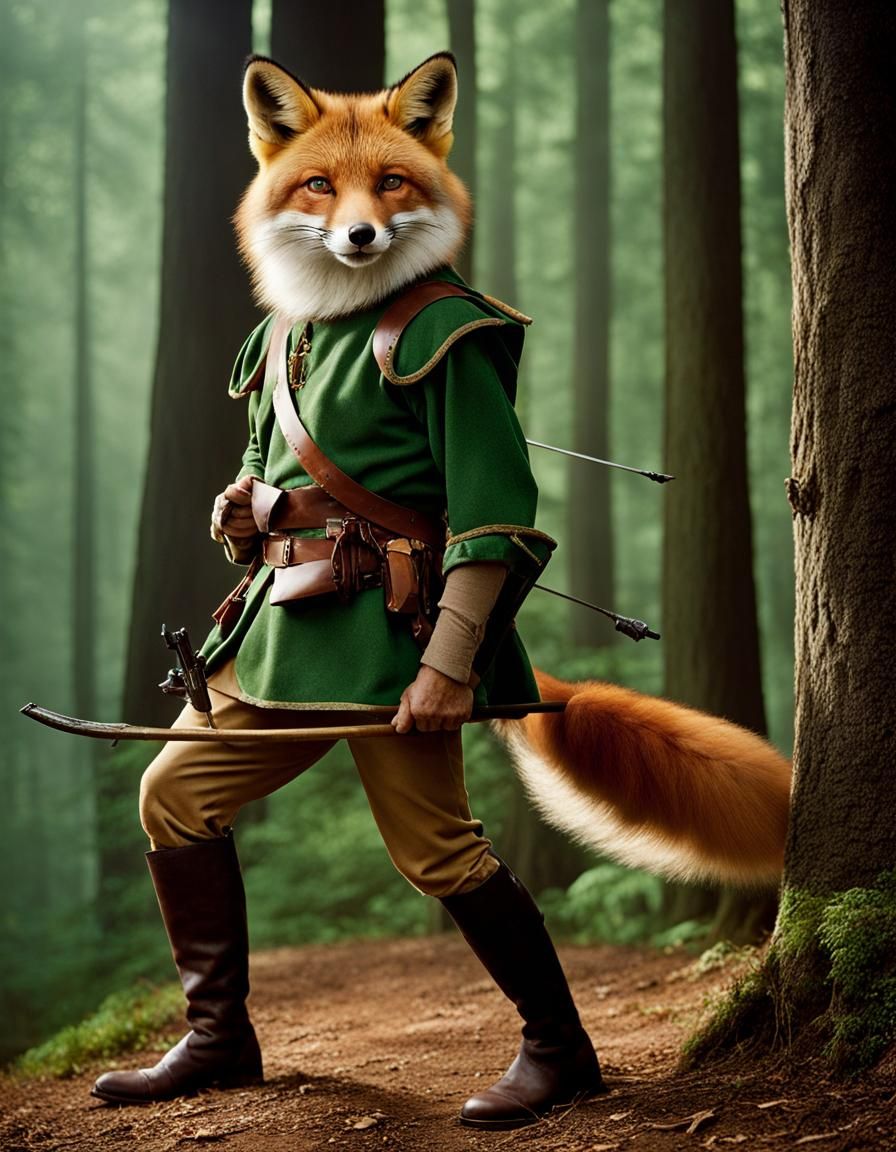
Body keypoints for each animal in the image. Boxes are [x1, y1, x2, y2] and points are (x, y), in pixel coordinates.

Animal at [237, 52, 792, 890]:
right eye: (318, 186)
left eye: (392, 182)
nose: (361, 234)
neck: (339, 314)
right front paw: (237, 515)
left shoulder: (460, 360)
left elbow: (490, 512)